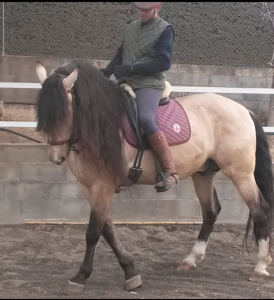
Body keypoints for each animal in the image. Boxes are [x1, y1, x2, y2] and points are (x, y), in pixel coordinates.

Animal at [35, 59, 274, 292]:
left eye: (64, 112)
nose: (56, 157)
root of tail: (243, 110)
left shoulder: (103, 185)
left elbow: (94, 231)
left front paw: (80, 277)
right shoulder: (90, 188)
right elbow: (107, 230)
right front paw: (130, 271)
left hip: (241, 173)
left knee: (260, 210)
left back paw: (260, 267)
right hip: (203, 174)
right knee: (211, 212)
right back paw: (191, 259)